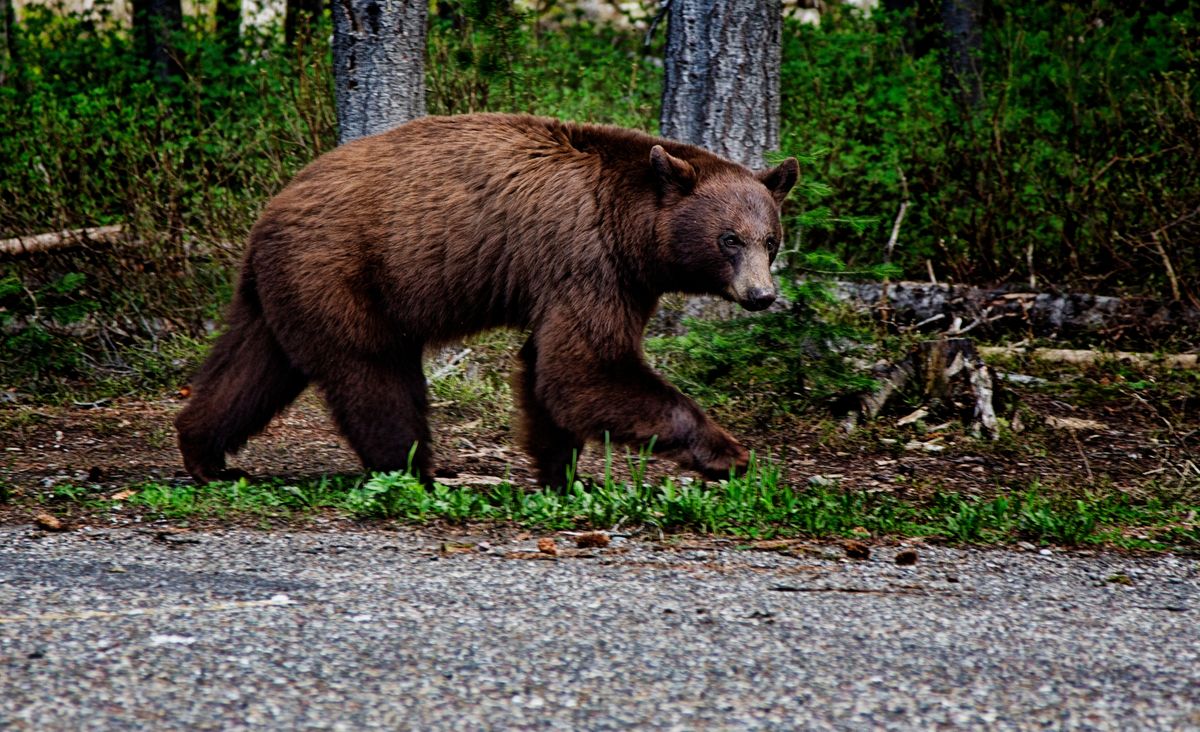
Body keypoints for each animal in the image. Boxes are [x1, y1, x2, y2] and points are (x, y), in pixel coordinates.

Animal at [175, 112, 796, 484]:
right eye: (729, 239)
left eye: (771, 239)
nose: (761, 295)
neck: (630, 225)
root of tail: (269, 212)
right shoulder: (586, 261)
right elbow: (586, 368)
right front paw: (729, 453)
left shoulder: (620, 279)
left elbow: (549, 372)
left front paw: (560, 474)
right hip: (341, 271)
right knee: (374, 372)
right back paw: (414, 471)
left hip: (279, 289)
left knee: (253, 366)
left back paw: (205, 455)